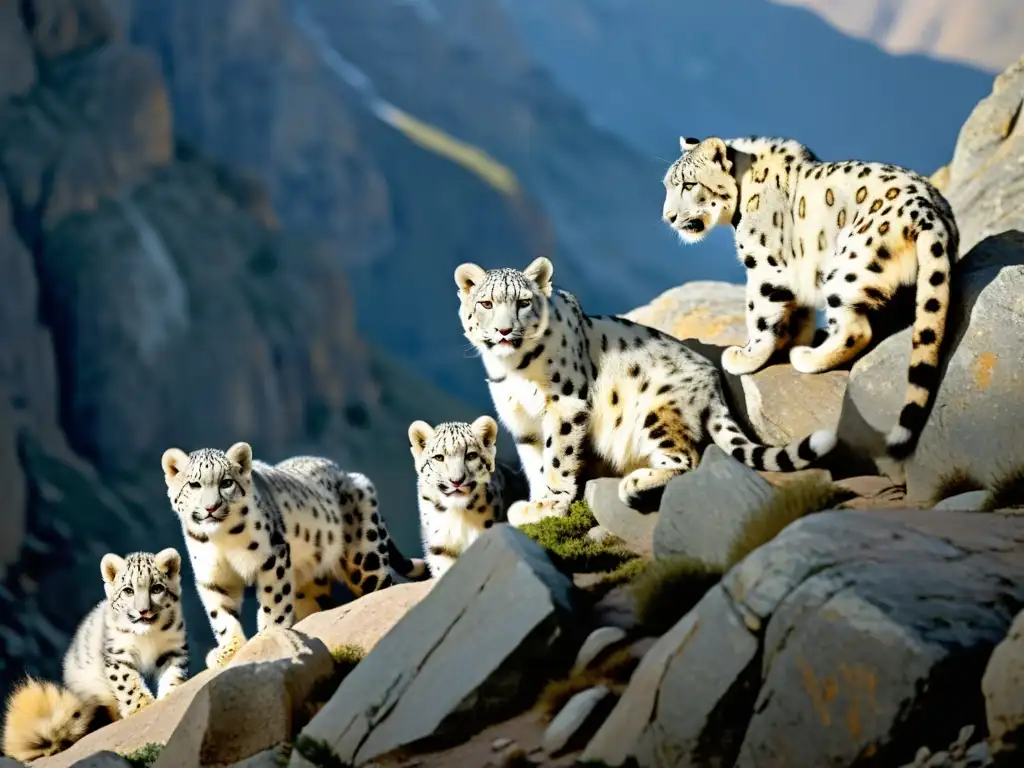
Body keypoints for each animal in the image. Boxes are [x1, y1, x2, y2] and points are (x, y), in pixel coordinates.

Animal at [2, 552, 188, 765]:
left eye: (157, 588)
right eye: (128, 591)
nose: (143, 611)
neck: (147, 637)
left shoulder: (174, 648)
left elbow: (173, 674)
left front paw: (170, 693)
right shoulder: (117, 654)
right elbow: (127, 682)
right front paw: (141, 706)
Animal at [161, 442, 425, 671]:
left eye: (226, 482)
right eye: (194, 484)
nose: (211, 507)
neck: (220, 541)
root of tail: (348, 474)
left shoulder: (272, 555)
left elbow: (274, 598)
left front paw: (268, 634)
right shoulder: (212, 577)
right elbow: (221, 615)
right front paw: (228, 651)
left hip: (365, 558)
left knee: (383, 584)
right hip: (310, 585)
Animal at [452, 256, 835, 528]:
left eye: (523, 302)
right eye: (486, 304)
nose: (504, 330)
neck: (513, 370)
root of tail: (713, 381)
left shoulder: (565, 405)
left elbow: (558, 456)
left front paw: (553, 500)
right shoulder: (521, 422)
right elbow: (535, 462)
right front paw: (536, 503)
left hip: (656, 410)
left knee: (686, 458)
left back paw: (634, 483)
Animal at [663, 136, 958, 460]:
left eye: (689, 184)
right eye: (667, 185)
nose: (669, 217)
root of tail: (927, 212)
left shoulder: (764, 266)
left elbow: (759, 313)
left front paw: (746, 356)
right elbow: (797, 312)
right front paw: (790, 339)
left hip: (847, 266)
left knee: (856, 330)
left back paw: (807, 357)